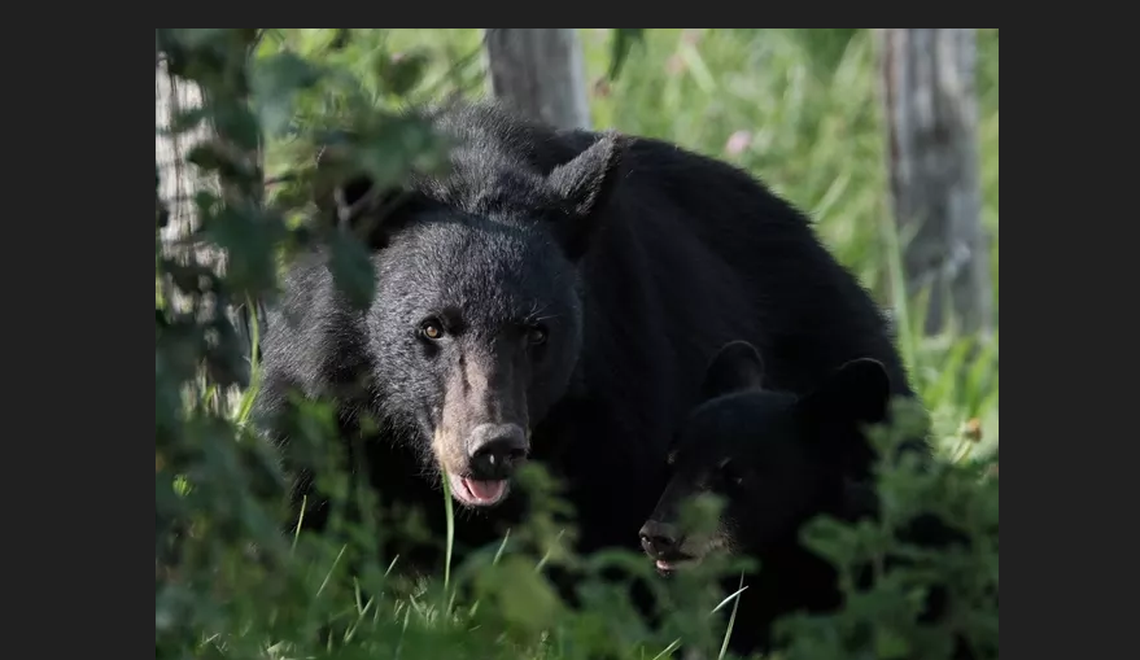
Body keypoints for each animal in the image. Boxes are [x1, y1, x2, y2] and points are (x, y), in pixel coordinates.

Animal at [251, 101, 917, 593]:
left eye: (537, 333)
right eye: (432, 328)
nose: (492, 449)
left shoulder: (619, 404)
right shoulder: (321, 395)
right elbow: (311, 520)